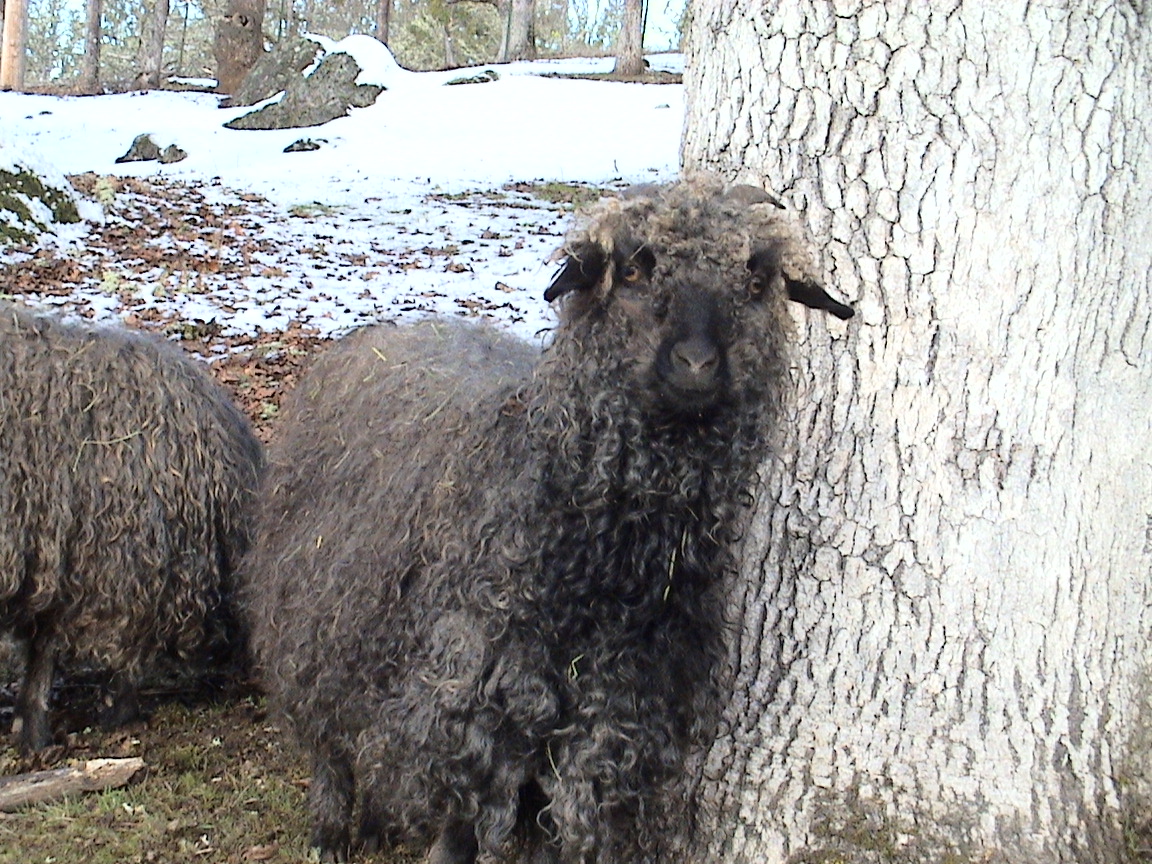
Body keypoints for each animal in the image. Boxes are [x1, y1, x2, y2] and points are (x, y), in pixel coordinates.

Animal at [245, 177, 857, 864]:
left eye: (756, 280)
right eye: (635, 269)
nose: (698, 363)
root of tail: (380, 334)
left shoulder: (604, 722)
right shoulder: (467, 699)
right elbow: (456, 828)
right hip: (314, 616)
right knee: (323, 733)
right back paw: (330, 830)